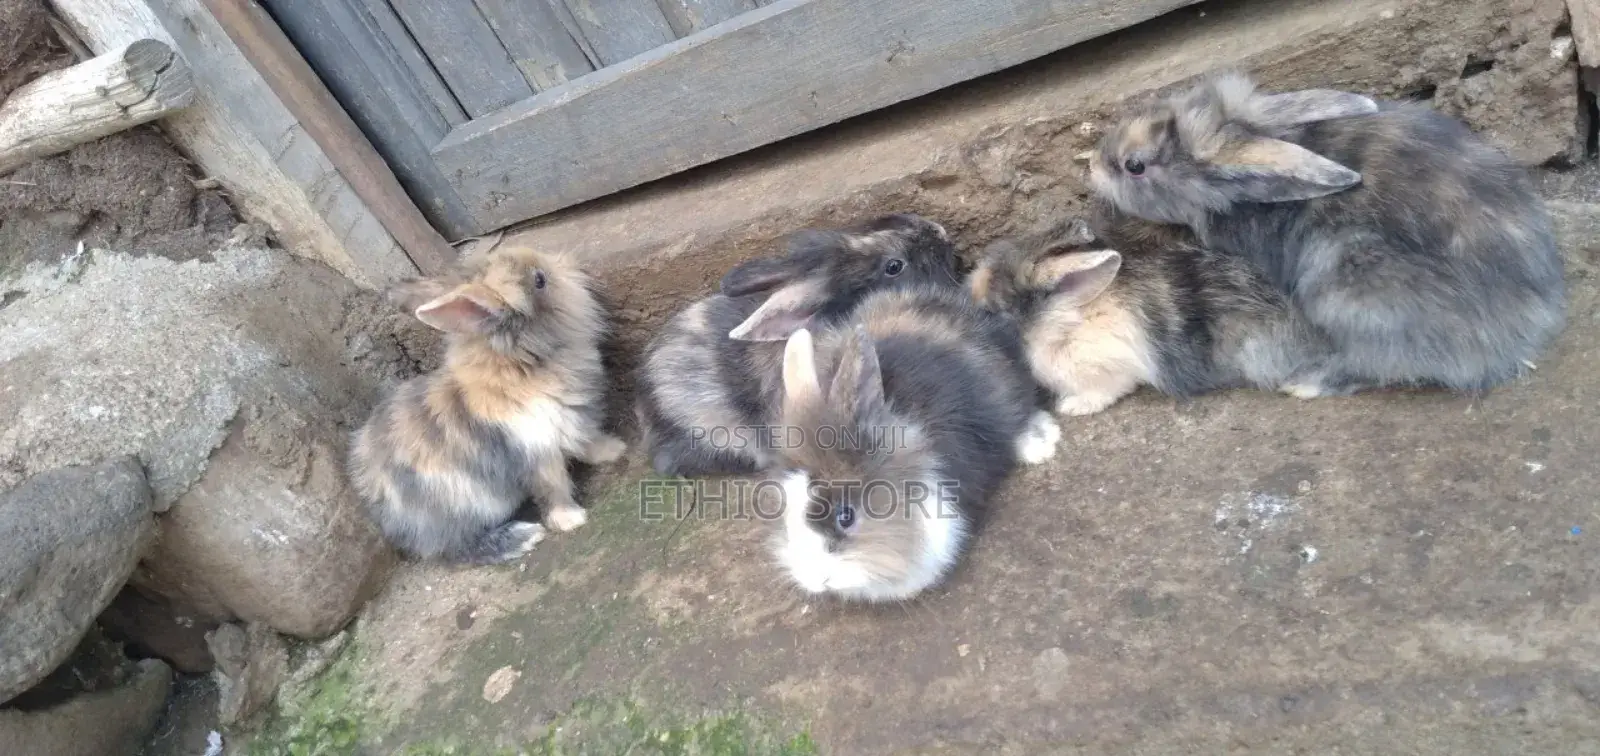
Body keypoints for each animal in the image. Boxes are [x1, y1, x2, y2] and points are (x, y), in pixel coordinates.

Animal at [348, 243, 627, 565]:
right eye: (539, 280)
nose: (567, 262)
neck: (522, 363)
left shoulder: (571, 423)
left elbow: (589, 443)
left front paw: (615, 450)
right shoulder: (535, 448)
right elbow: (553, 485)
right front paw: (570, 519)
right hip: (459, 512)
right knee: (454, 550)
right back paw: (522, 537)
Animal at [969, 216, 1334, 416]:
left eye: (995, 308)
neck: (1065, 321)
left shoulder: (1110, 369)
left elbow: (1104, 391)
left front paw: (1072, 408)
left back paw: (1301, 388)